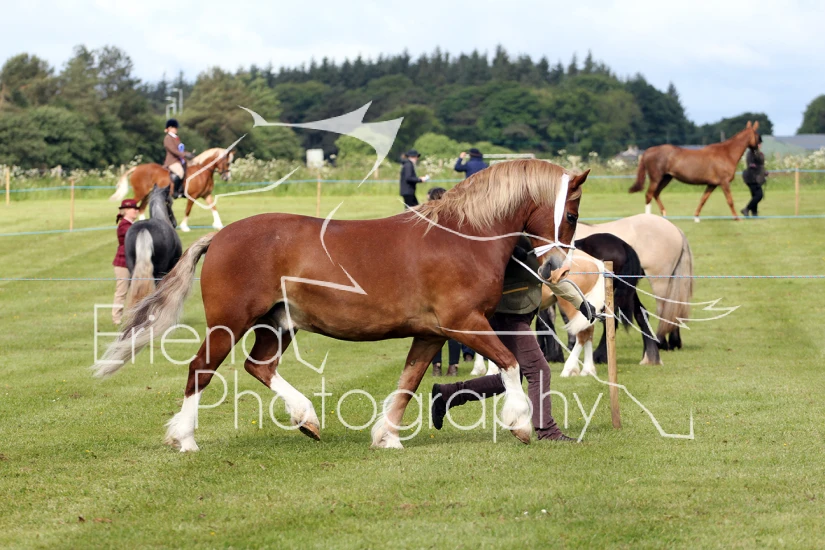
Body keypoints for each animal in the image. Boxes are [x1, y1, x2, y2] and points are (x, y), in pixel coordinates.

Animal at [92, 160, 588, 451]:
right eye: (570, 213)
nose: (557, 267)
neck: (462, 237)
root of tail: (221, 236)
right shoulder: (463, 324)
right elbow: (509, 365)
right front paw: (520, 423)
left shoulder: (431, 333)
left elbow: (409, 382)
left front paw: (386, 436)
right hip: (229, 323)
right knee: (200, 370)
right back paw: (186, 439)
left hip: (278, 324)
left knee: (259, 367)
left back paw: (307, 419)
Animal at [629, 121, 761, 222]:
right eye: (758, 136)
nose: (758, 153)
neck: (727, 153)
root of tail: (648, 151)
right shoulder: (724, 183)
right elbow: (730, 200)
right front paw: (737, 218)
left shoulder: (711, 184)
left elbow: (703, 199)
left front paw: (696, 218)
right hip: (656, 179)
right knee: (649, 195)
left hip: (666, 178)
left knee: (656, 194)